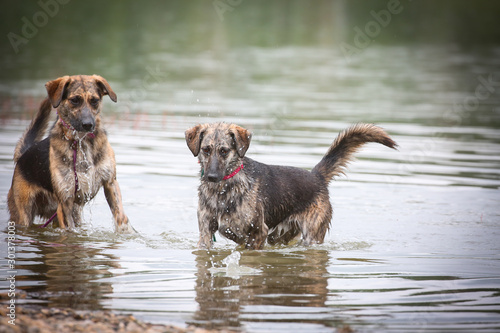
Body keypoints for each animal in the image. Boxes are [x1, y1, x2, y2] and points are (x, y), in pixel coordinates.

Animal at [8, 74, 134, 232]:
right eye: (75, 100)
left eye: (94, 101)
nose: (88, 125)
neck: (81, 142)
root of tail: (24, 154)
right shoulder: (66, 200)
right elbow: (70, 231)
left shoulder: (110, 183)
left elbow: (121, 217)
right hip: (23, 214)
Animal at [187, 122, 398, 249]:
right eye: (206, 150)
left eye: (224, 151)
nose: (212, 177)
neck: (223, 190)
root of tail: (316, 176)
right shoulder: (205, 233)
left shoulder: (257, 234)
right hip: (279, 236)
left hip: (312, 236)